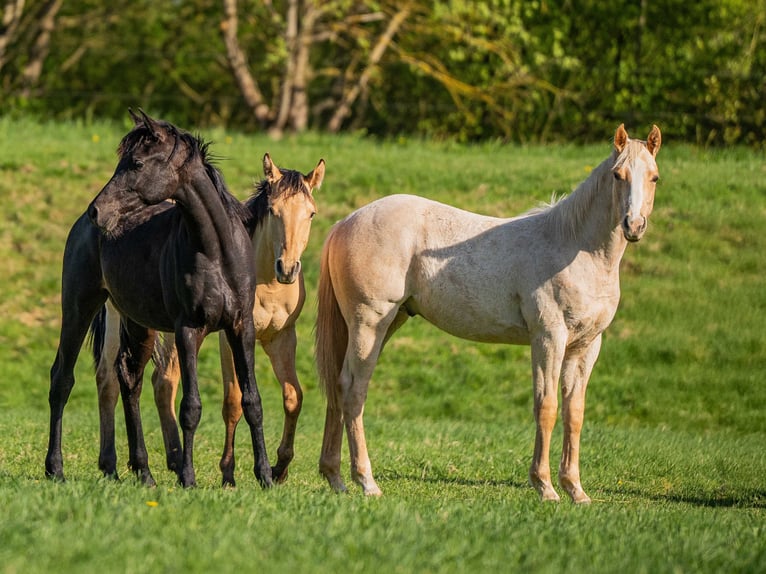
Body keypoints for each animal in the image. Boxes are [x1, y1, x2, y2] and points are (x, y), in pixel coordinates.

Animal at [46, 109, 271, 488]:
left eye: (136, 163)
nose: (98, 211)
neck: (216, 252)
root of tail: (81, 227)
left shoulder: (242, 327)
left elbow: (253, 401)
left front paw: (266, 476)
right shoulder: (188, 330)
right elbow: (191, 407)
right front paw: (188, 478)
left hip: (139, 324)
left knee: (129, 380)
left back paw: (143, 472)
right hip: (79, 307)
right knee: (62, 379)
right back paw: (55, 468)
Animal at [93, 153, 324, 486]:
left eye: (311, 213)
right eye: (273, 210)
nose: (288, 268)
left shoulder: (282, 337)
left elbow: (293, 396)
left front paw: (279, 468)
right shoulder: (228, 337)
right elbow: (234, 401)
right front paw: (228, 472)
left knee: (160, 381)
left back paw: (173, 460)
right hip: (122, 317)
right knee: (109, 379)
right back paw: (111, 462)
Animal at [315, 124, 661, 503]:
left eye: (654, 177)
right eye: (617, 175)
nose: (634, 225)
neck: (575, 246)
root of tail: (346, 221)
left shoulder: (586, 346)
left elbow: (574, 413)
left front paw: (576, 490)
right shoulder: (548, 338)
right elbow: (547, 406)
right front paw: (545, 487)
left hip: (383, 323)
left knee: (338, 386)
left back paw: (335, 477)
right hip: (368, 324)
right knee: (354, 389)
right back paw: (367, 481)